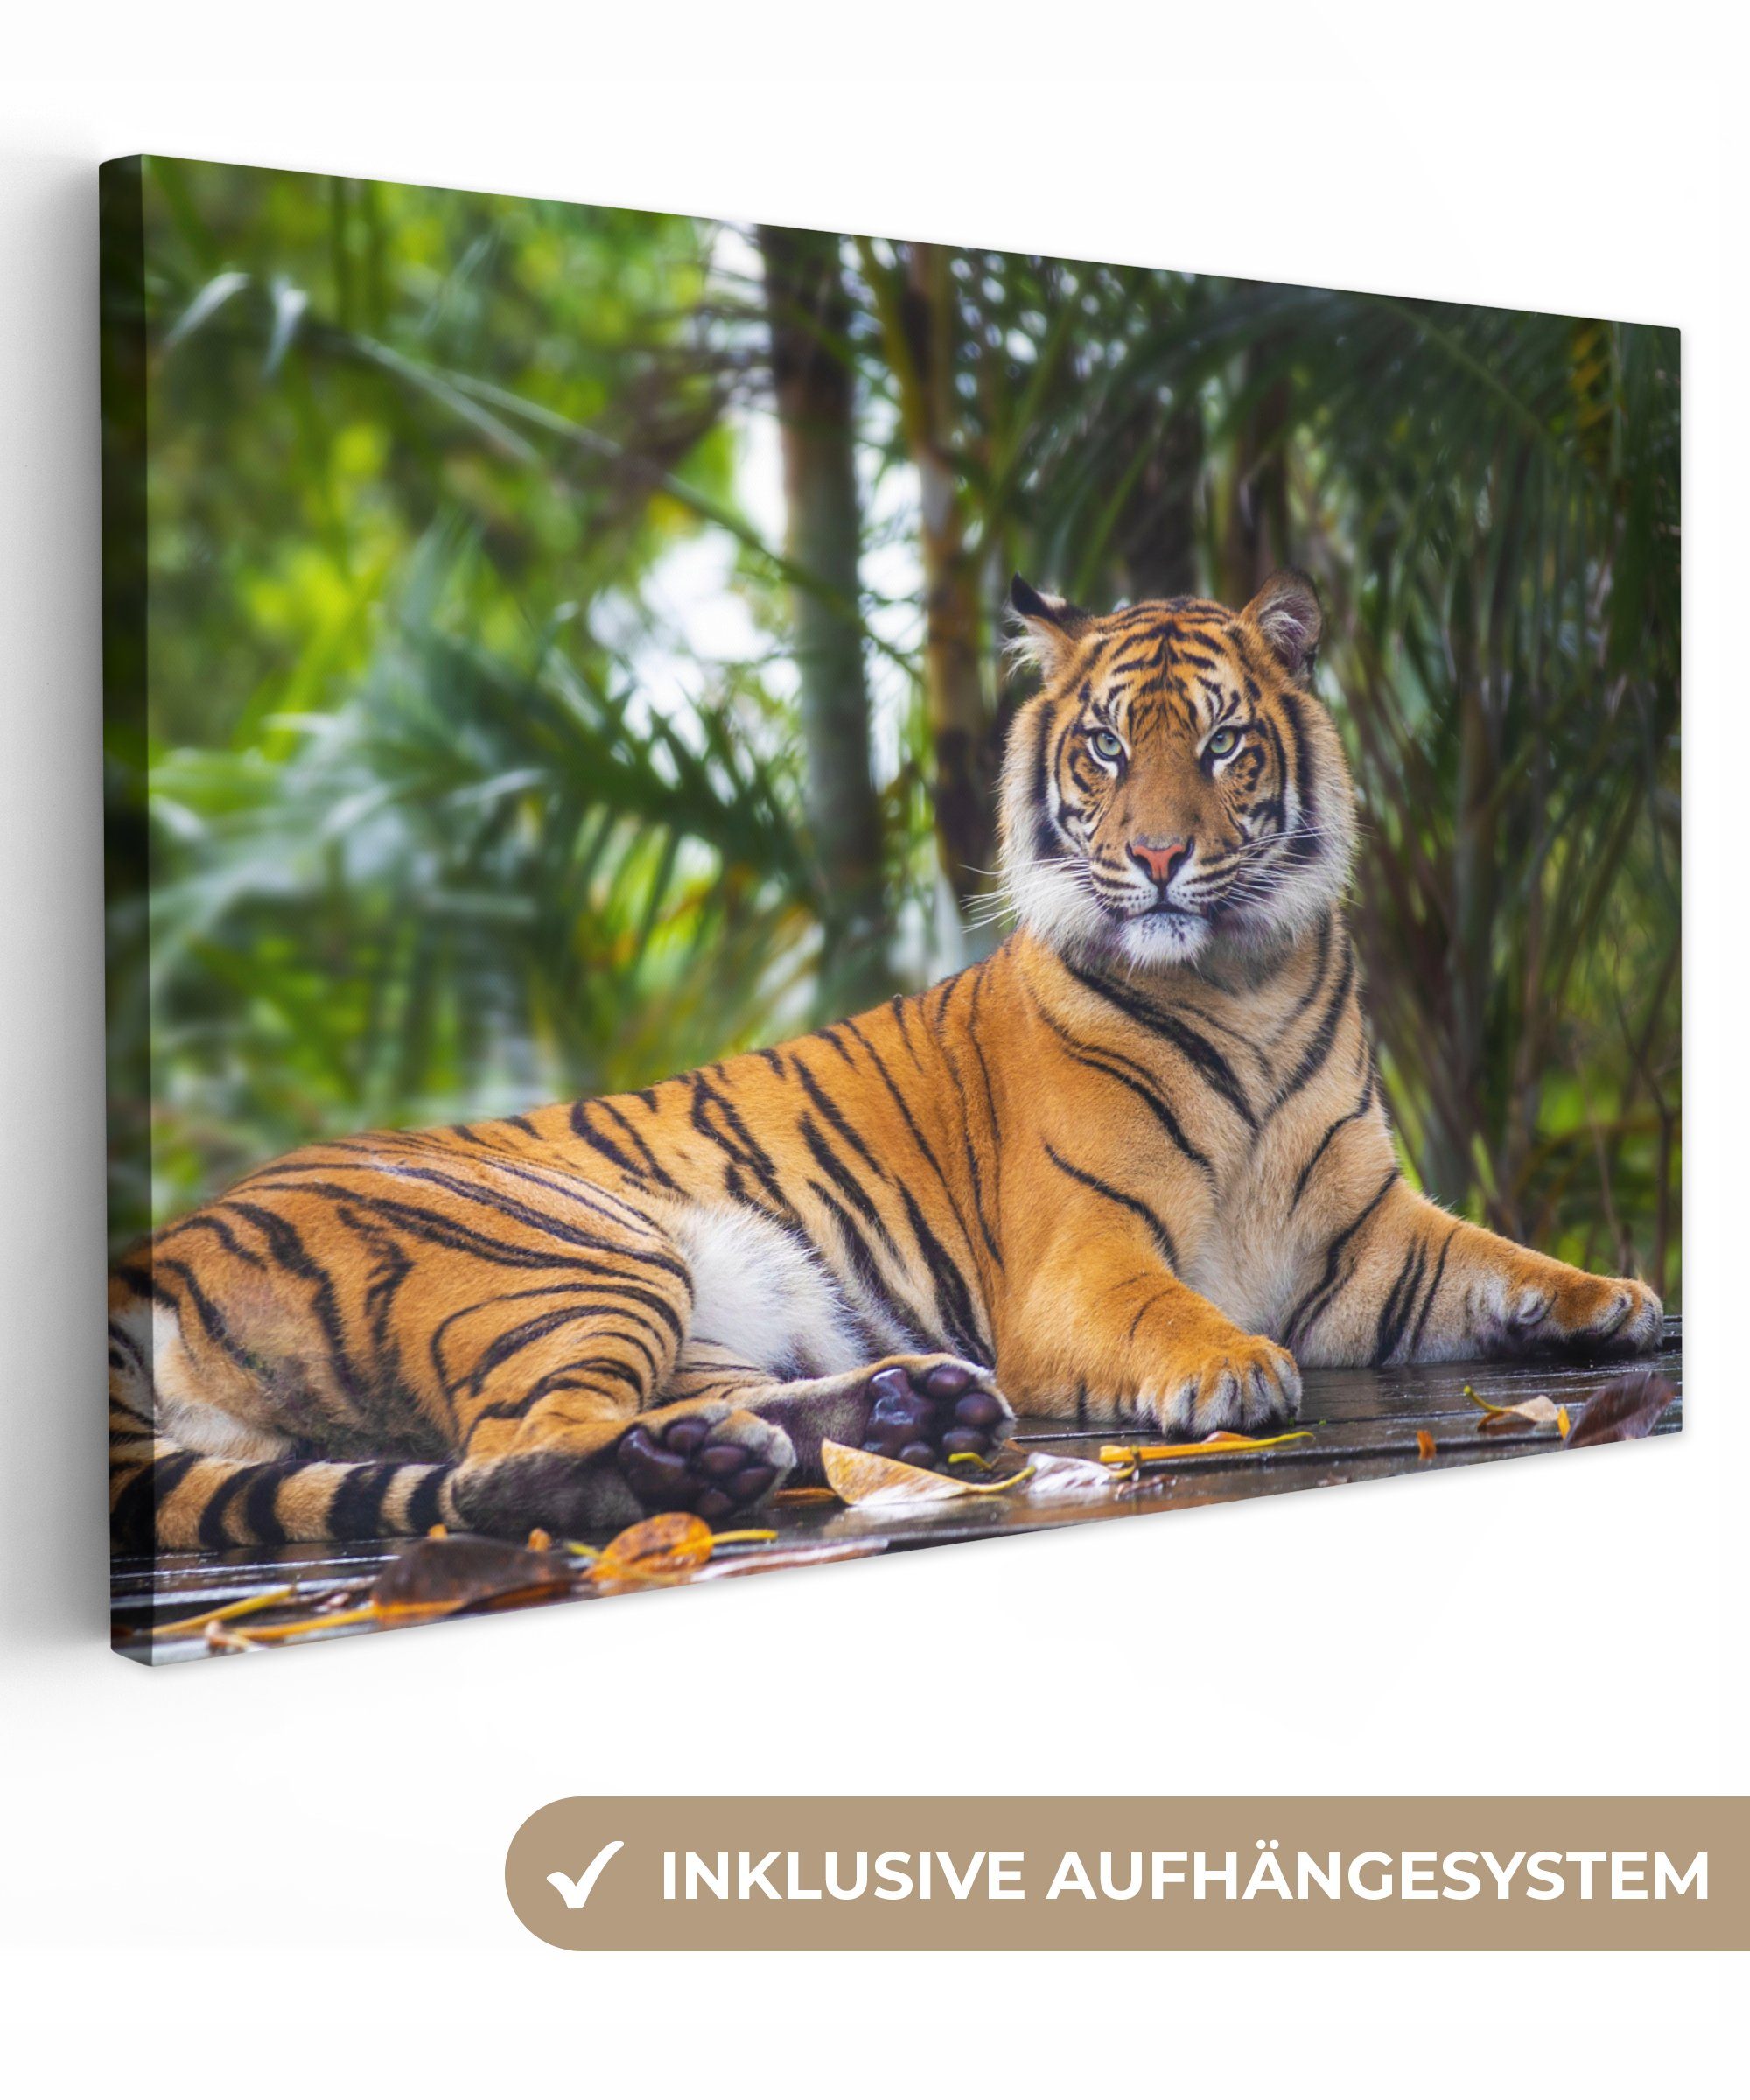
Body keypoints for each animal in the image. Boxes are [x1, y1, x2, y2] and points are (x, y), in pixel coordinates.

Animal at [109, 568, 1664, 1552]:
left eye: (1225, 745)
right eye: (1106, 751)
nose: (1161, 858)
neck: (1246, 977)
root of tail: (166, 1246)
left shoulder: (1365, 1233)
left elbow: (1497, 1257)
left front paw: (1610, 1300)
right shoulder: (1081, 1261)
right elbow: (1172, 1309)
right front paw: (1232, 1366)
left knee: (685, 1413)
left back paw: (891, 1415)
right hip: (572, 1250)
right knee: (509, 1453)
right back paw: (692, 1474)